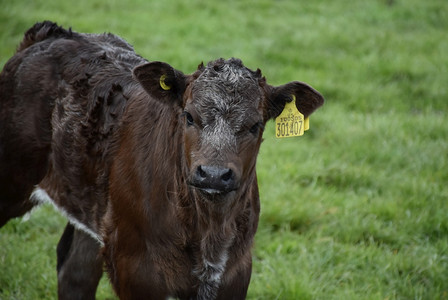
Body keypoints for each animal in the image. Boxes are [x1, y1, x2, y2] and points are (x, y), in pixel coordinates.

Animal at [0, 21, 324, 300]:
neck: (209, 231)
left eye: (255, 125)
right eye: (189, 116)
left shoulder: (236, 272)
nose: (213, 174)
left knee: (74, 272)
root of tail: (54, 33)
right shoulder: (135, 269)